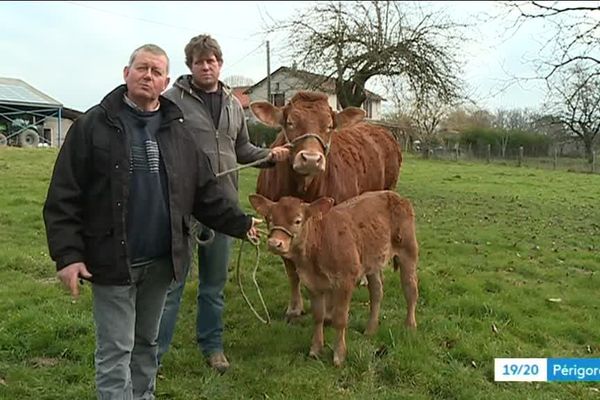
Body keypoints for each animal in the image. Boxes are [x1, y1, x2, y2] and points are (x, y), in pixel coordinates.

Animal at [248, 192, 418, 368]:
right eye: (270, 219)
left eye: (297, 220)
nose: (274, 243)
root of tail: (395, 195)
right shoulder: (311, 283)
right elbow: (318, 316)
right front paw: (315, 349)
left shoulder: (345, 282)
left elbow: (340, 319)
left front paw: (339, 355)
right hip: (373, 262)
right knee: (377, 293)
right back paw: (370, 329)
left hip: (408, 251)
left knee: (410, 290)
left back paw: (410, 325)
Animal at [251, 91, 400, 322]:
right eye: (290, 122)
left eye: (329, 125)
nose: (311, 159)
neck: (303, 188)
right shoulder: (277, 226)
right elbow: (292, 272)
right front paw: (295, 308)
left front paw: (329, 312)